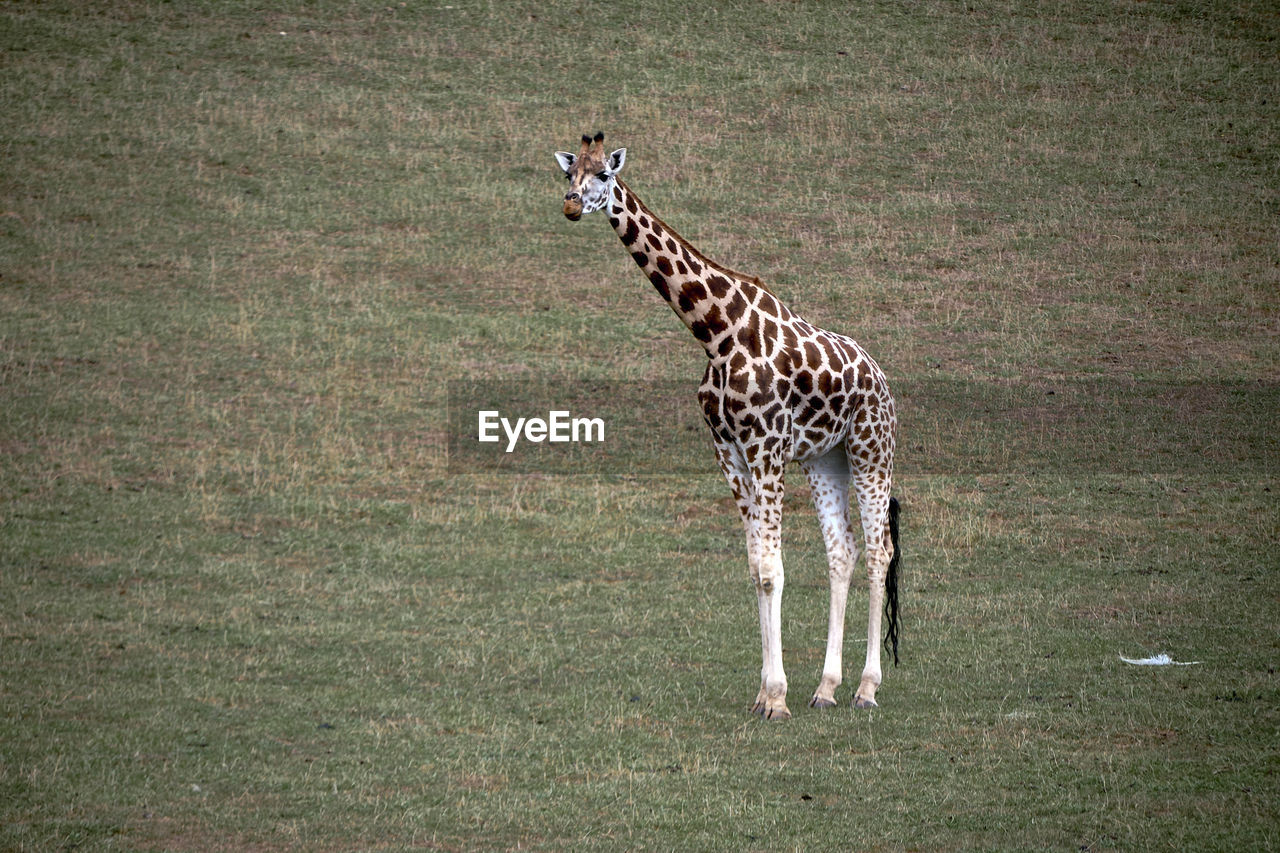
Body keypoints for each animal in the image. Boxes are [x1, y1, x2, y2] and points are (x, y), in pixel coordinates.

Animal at [552, 134, 901, 717]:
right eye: (567, 173)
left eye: (603, 174)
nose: (572, 205)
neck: (715, 331)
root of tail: (881, 377)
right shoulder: (729, 451)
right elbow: (756, 568)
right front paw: (766, 694)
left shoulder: (765, 446)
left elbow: (773, 569)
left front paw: (776, 698)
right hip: (824, 458)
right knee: (843, 551)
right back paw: (826, 688)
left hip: (872, 450)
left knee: (879, 552)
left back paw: (866, 689)